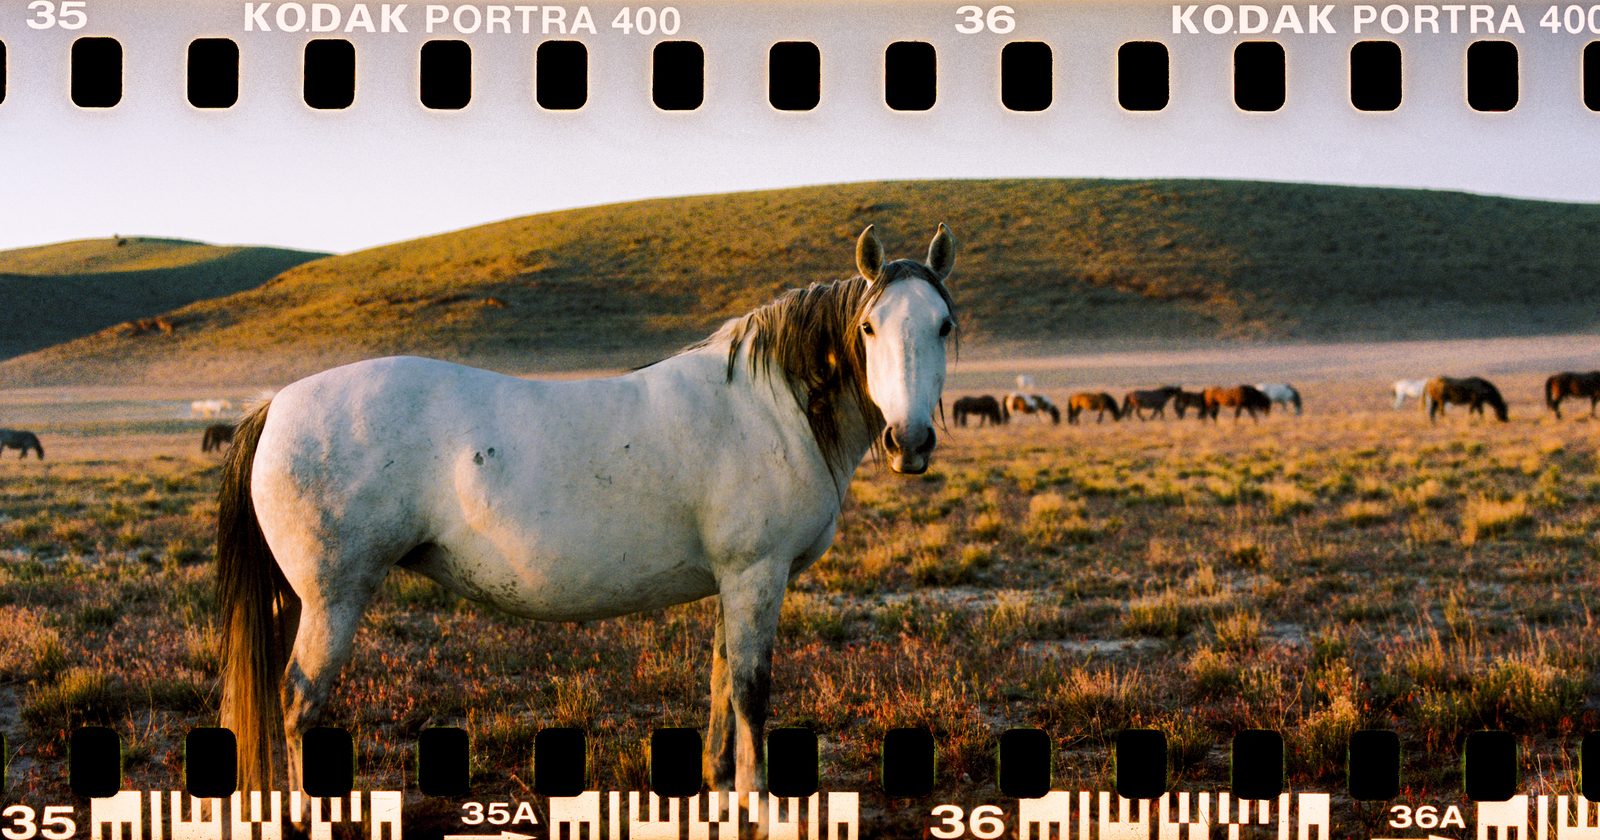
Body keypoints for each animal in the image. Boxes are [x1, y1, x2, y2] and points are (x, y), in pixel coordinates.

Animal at [217, 224, 958, 799]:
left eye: (944, 326)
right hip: (332, 598)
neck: (770, 407)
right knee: (297, 705)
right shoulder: (756, 573)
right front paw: (754, 799)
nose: (911, 441)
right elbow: (751, 690)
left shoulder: (735, 580)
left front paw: (720, 786)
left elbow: (722, 680)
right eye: (869, 326)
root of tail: (276, 403)